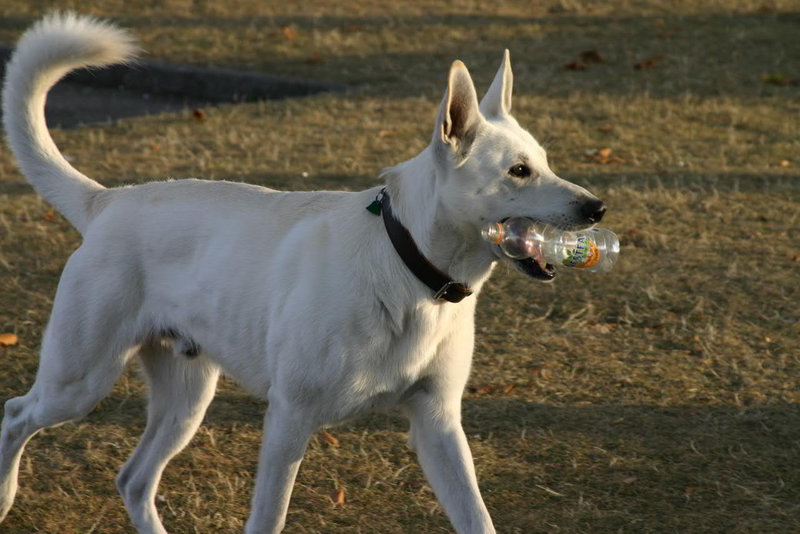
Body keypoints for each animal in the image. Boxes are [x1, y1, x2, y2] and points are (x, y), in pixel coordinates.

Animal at [0, 12, 608, 534]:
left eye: (545, 161)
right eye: (519, 171)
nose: (598, 208)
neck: (407, 267)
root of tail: (105, 201)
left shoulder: (438, 425)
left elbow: (477, 516)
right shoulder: (289, 420)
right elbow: (268, 518)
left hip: (185, 401)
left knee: (132, 479)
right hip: (80, 380)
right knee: (16, 414)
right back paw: (4, 497)